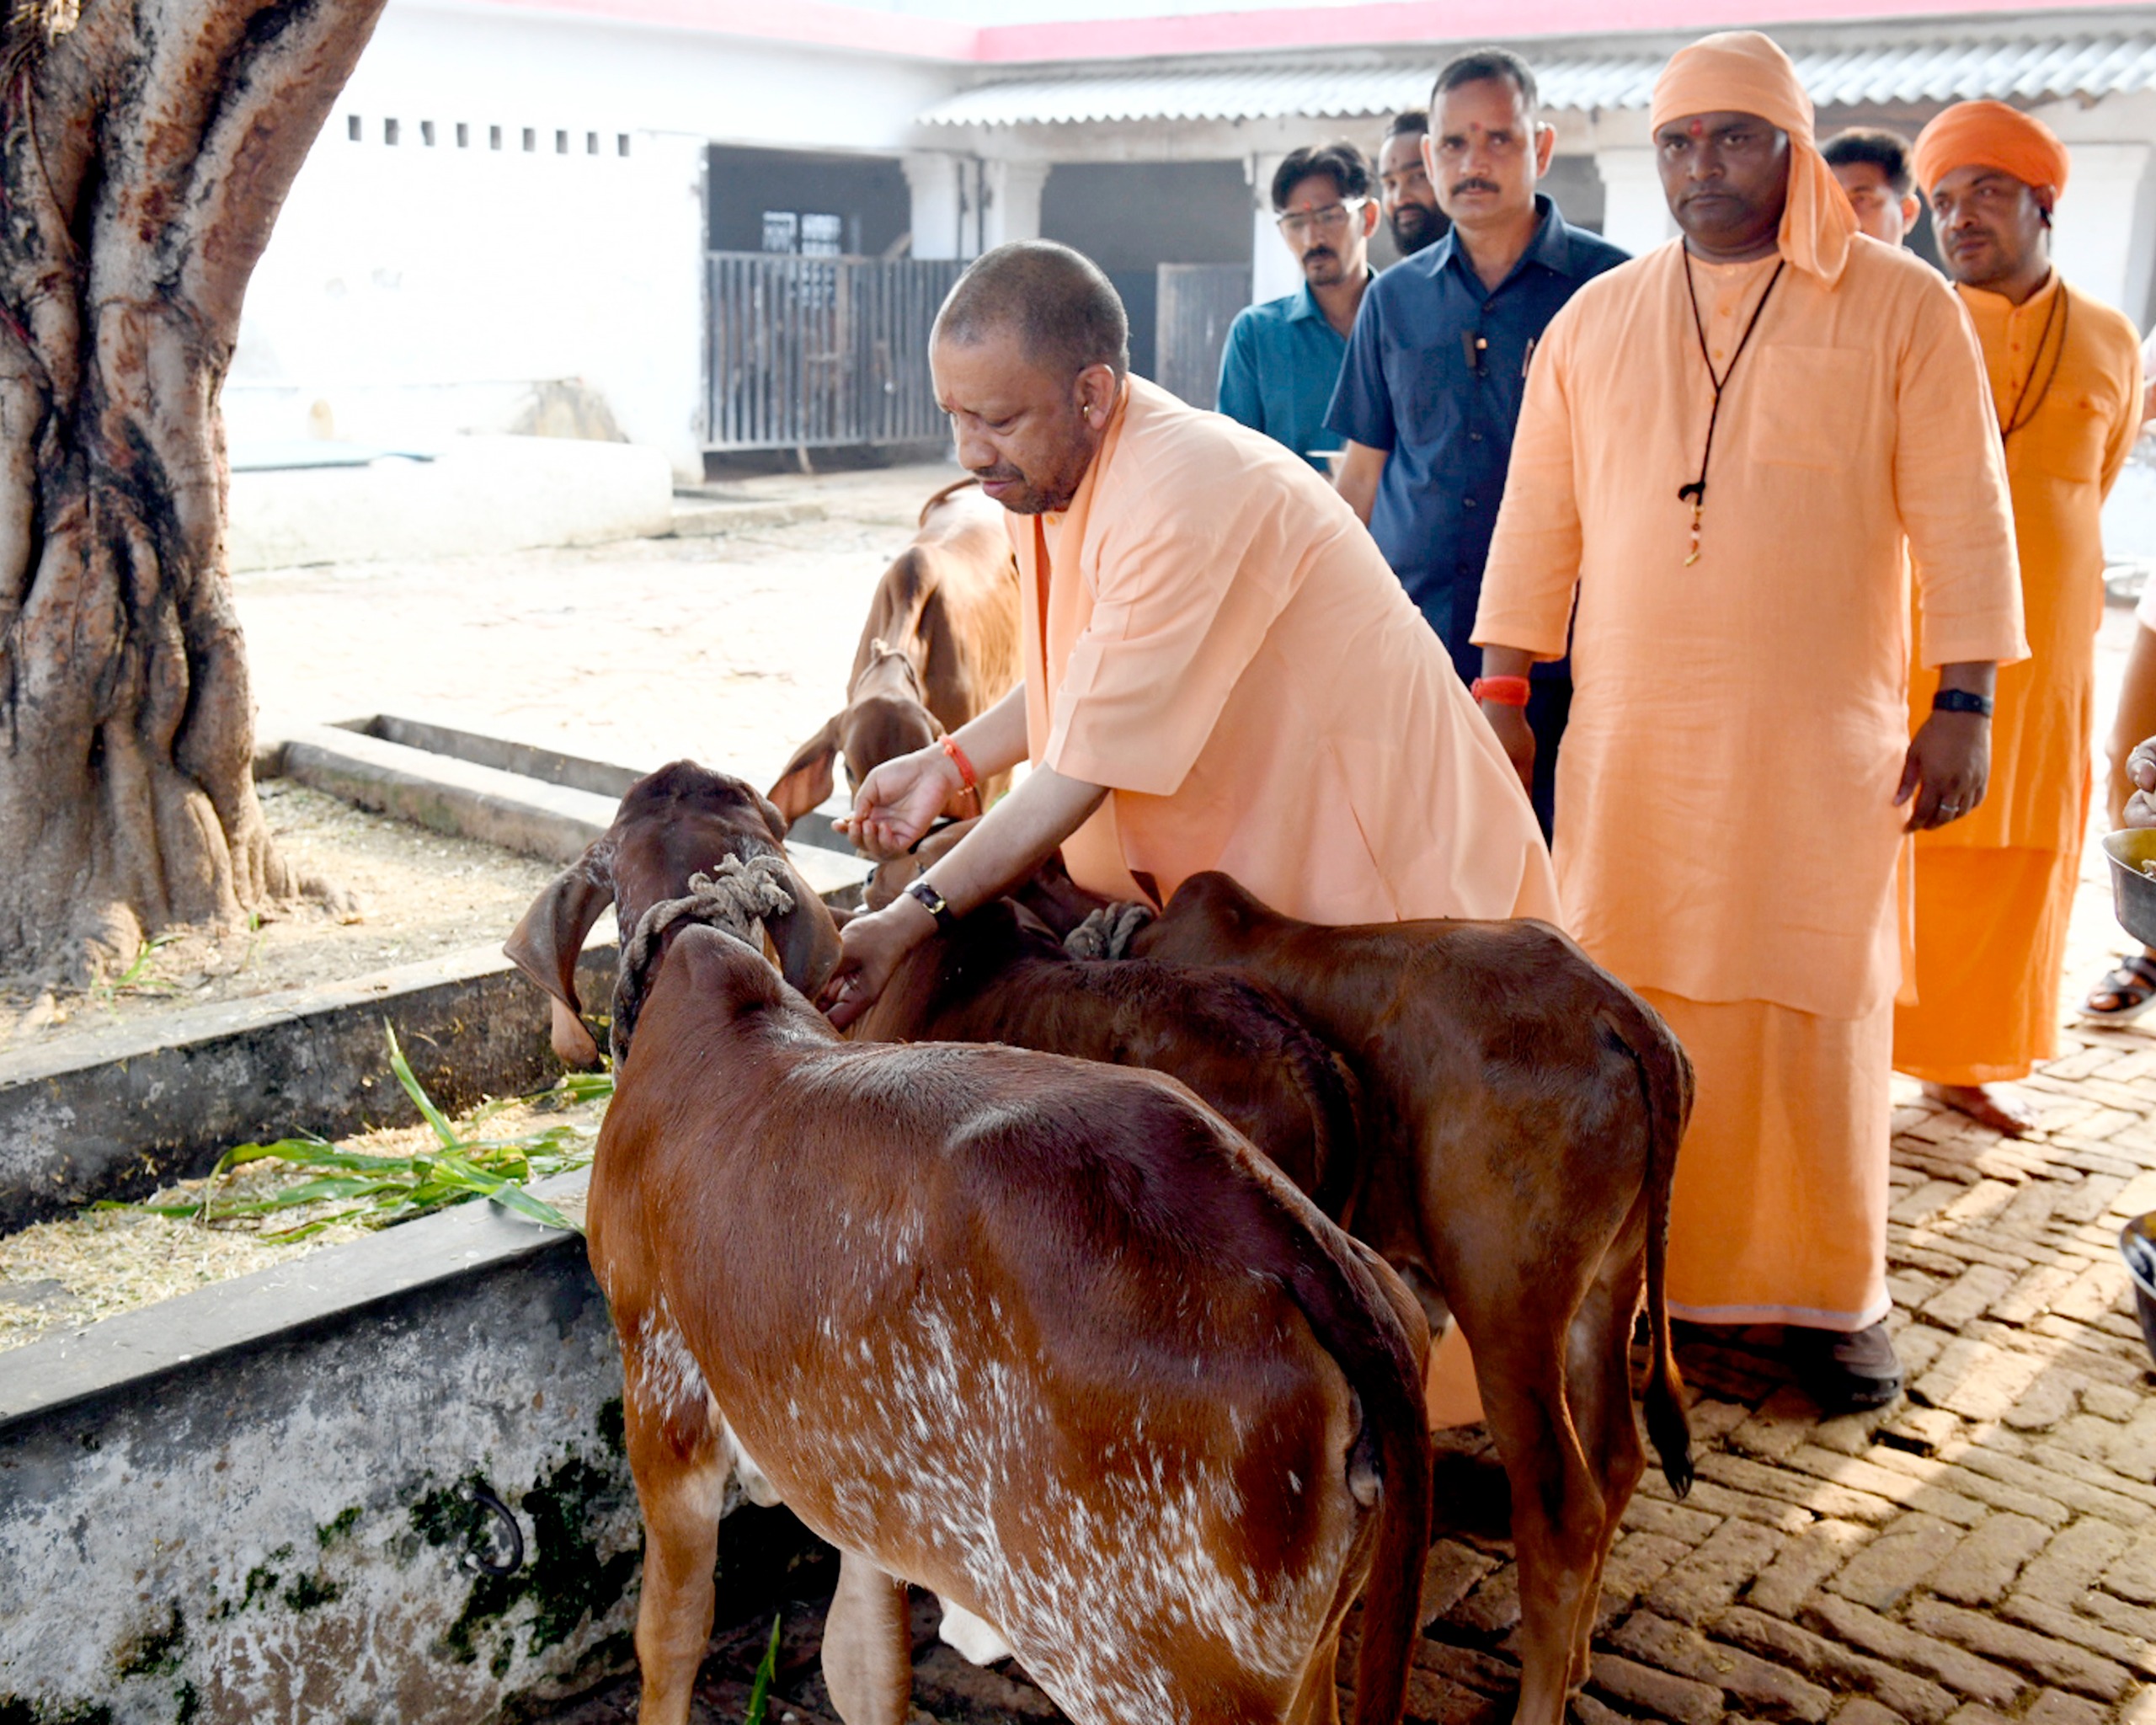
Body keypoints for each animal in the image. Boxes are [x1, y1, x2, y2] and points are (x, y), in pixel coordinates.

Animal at [509, 763, 1431, 1725]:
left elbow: (671, 1634)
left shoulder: (661, 1393)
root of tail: (1287, 1242)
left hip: (1147, 1672)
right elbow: (867, 1663)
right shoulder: (863, 1487)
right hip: (1302, 1654)